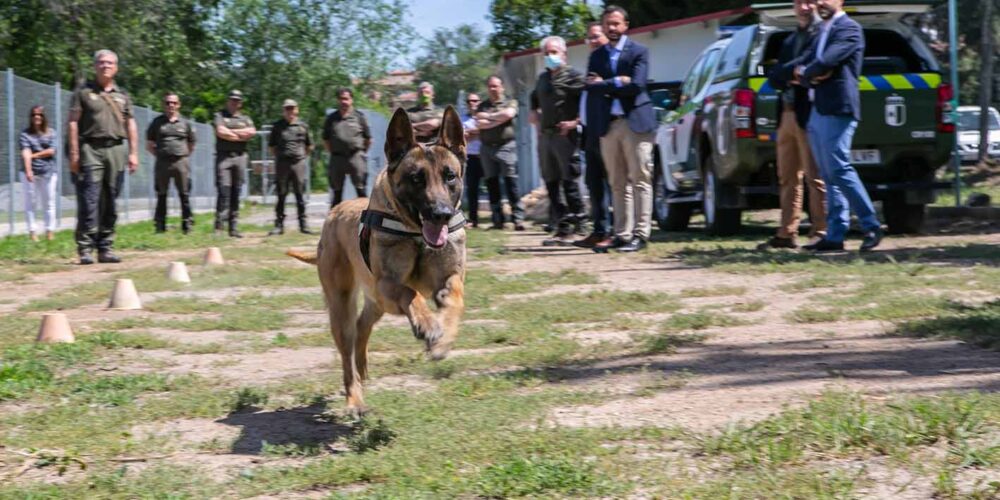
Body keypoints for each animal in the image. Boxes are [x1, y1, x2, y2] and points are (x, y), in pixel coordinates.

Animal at [286, 105, 464, 414]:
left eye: (449, 175)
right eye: (417, 178)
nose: (441, 214)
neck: (415, 233)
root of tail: (334, 212)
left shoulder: (449, 276)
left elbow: (454, 295)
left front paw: (443, 340)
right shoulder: (387, 283)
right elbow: (411, 292)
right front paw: (428, 324)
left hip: (376, 304)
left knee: (362, 328)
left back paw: (364, 369)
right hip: (343, 307)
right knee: (348, 351)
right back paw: (355, 399)